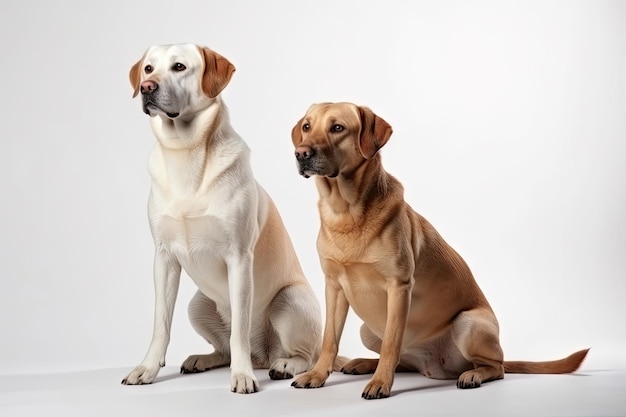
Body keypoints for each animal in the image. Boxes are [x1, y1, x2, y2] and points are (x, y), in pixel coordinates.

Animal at [119, 44, 320, 392]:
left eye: (179, 66)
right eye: (148, 69)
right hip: (197, 304)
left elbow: (239, 328)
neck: (184, 151)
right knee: (223, 349)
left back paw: (283, 366)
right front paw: (147, 368)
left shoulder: (238, 258)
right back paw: (203, 359)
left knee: (303, 355)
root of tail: (262, 355)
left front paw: (242, 377)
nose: (146, 88)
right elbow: (161, 324)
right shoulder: (164, 258)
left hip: (289, 299)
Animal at [290, 102, 588, 398]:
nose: (301, 153)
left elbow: (390, 344)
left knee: (496, 367)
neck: (346, 212)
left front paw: (380, 383)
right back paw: (363, 363)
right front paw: (317, 375)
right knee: (404, 362)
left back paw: (473, 375)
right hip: (369, 330)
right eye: (307, 127)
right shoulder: (334, 287)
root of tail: (435, 366)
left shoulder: (399, 287)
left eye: (338, 127)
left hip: (469, 323)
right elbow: (330, 339)